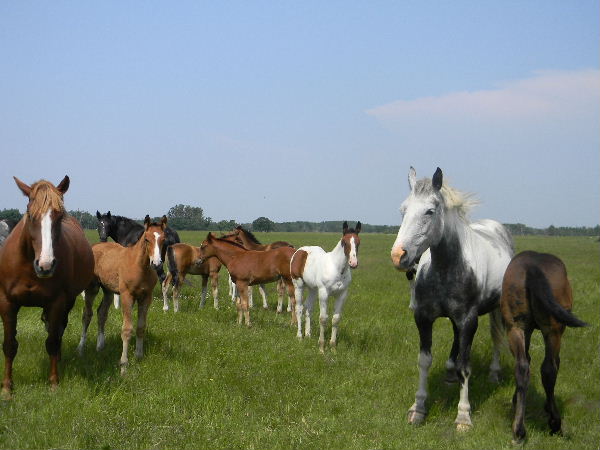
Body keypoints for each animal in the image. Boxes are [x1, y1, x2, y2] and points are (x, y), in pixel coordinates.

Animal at [0, 176, 94, 395]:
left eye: (59, 217)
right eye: (30, 215)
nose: (45, 265)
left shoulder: (57, 302)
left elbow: (52, 341)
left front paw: (53, 383)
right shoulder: (7, 303)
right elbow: (9, 345)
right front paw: (7, 388)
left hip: (68, 301)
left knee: (58, 330)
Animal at [77, 216, 167, 375]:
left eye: (164, 239)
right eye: (146, 239)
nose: (156, 264)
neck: (140, 266)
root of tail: (95, 246)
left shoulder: (146, 297)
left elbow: (141, 327)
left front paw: (139, 356)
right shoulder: (126, 296)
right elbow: (126, 329)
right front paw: (124, 365)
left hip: (108, 290)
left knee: (102, 313)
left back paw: (100, 346)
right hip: (92, 288)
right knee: (87, 315)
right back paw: (81, 348)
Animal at [290, 221, 361, 352]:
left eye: (358, 242)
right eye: (344, 242)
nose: (353, 263)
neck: (337, 269)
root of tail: (300, 251)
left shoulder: (342, 295)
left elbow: (336, 319)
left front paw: (333, 348)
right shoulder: (323, 293)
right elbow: (323, 318)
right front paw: (322, 348)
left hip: (313, 289)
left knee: (308, 307)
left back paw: (308, 335)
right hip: (298, 286)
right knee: (299, 308)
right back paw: (299, 336)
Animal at [390, 167, 514, 430]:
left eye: (430, 211)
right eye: (403, 210)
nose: (398, 256)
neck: (445, 267)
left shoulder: (468, 320)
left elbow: (465, 366)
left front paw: (464, 416)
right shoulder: (423, 318)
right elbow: (424, 361)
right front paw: (418, 408)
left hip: (497, 308)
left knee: (496, 337)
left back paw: (494, 373)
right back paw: (449, 373)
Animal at [500, 251, 587, 444]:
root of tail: (532, 267)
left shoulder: (524, 330)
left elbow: (527, 359)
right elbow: (555, 363)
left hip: (516, 327)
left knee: (522, 367)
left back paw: (518, 430)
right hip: (553, 330)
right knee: (549, 369)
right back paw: (555, 423)